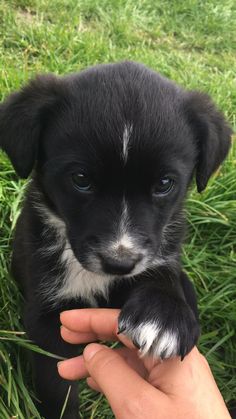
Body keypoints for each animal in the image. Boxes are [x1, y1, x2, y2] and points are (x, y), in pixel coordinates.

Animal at [0, 62, 231, 419]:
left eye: (164, 184)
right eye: (80, 179)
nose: (119, 263)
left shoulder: (161, 252)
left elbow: (165, 274)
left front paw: (163, 316)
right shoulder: (47, 313)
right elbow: (57, 385)